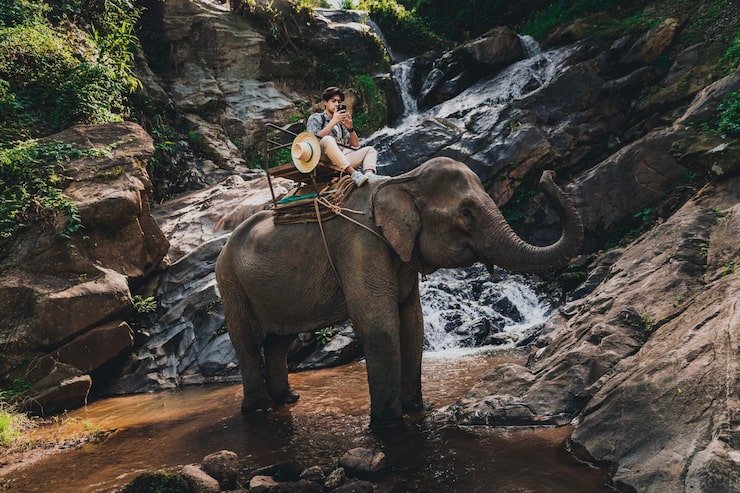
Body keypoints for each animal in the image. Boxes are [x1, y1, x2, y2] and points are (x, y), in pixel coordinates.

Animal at [215, 157, 583, 429]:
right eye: (466, 213)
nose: (550, 173)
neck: (403, 181)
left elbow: (413, 323)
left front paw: (416, 408)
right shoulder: (361, 244)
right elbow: (380, 326)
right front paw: (386, 424)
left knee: (280, 340)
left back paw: (288, 400)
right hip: (230, 281)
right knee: (247, 341)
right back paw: (257, 409)